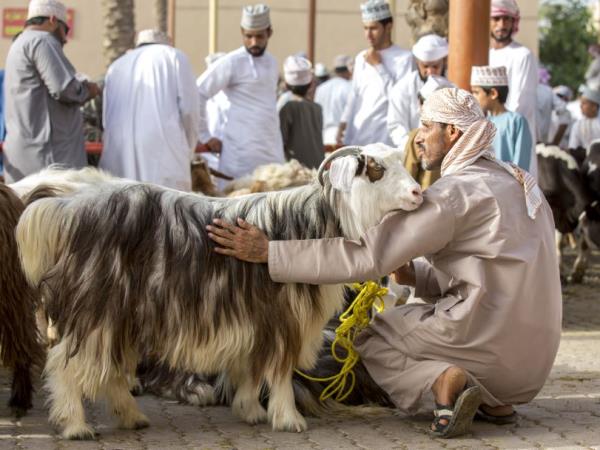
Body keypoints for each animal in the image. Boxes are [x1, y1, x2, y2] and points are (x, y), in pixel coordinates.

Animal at [16, 145, 424, 440]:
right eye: (376, 170)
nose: (418, 192)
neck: (307, 225)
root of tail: (67, 209)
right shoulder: (283, 317)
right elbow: (279, 369)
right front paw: (288, 418)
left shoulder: (255, 319)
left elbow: (251, 367)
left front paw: (250, 410)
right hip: (96, 308)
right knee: (66, 365)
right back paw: (75, 426)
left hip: (123, 314)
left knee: (113, 369)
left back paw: (131, 417)